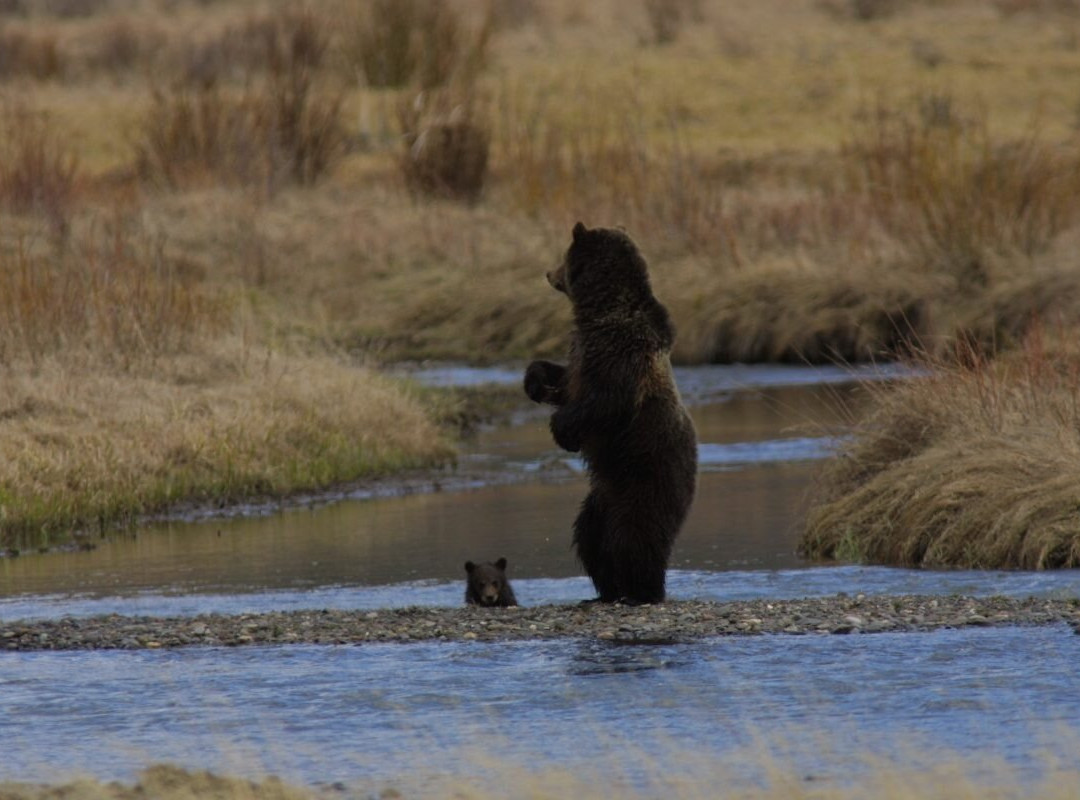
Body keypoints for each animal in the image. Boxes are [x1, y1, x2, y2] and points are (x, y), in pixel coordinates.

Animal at [524, 221, 699, 600]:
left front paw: (563, 431)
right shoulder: (582, 351)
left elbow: (608, 400)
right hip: (602, 497)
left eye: (563, 257)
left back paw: (642, 589)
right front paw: (535, 382)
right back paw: (607, 588)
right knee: (590, 537)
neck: (601, 310)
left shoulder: (622, 352)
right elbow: (565, 381)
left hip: (648, 476)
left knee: (636, 537)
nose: (547, 273)